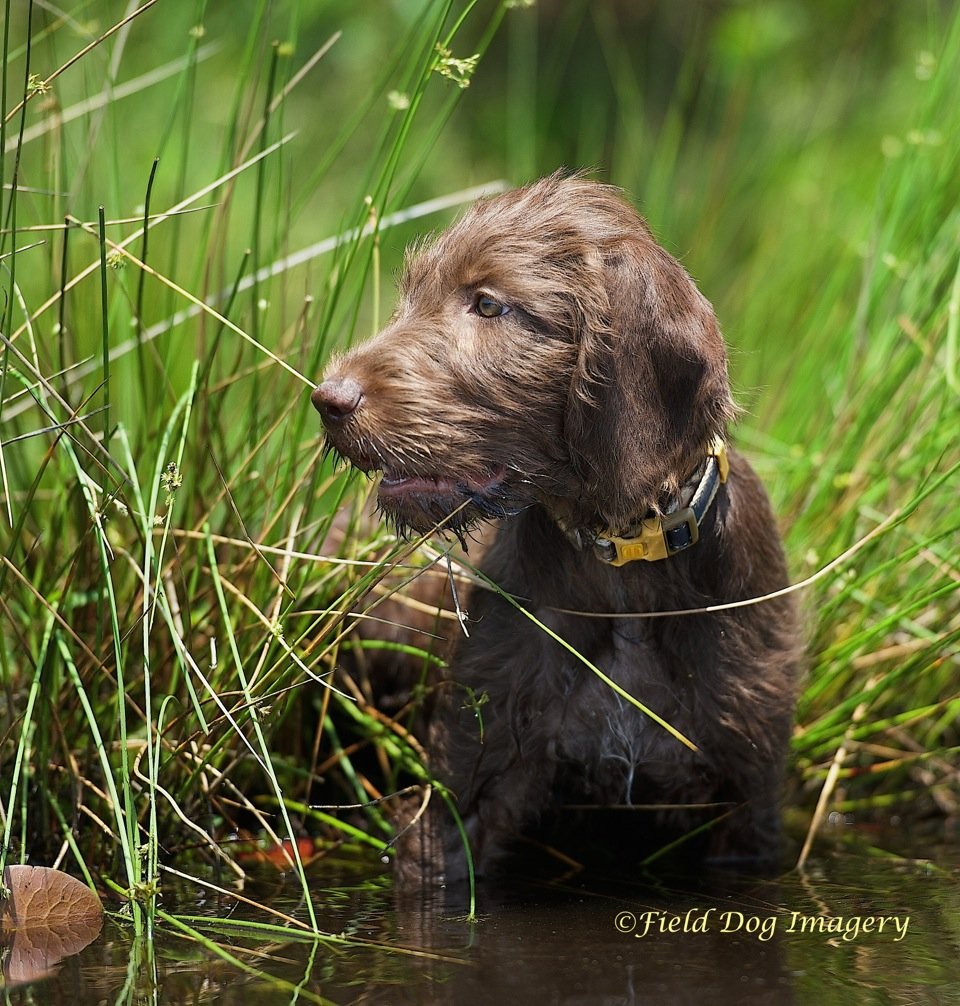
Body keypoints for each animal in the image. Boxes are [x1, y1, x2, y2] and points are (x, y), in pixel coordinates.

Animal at [309, 177, 796, 885]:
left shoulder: (749, 802)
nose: (328, 399)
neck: (623, 561)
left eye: (488, 305)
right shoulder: (470, 776)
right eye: (412, 294)